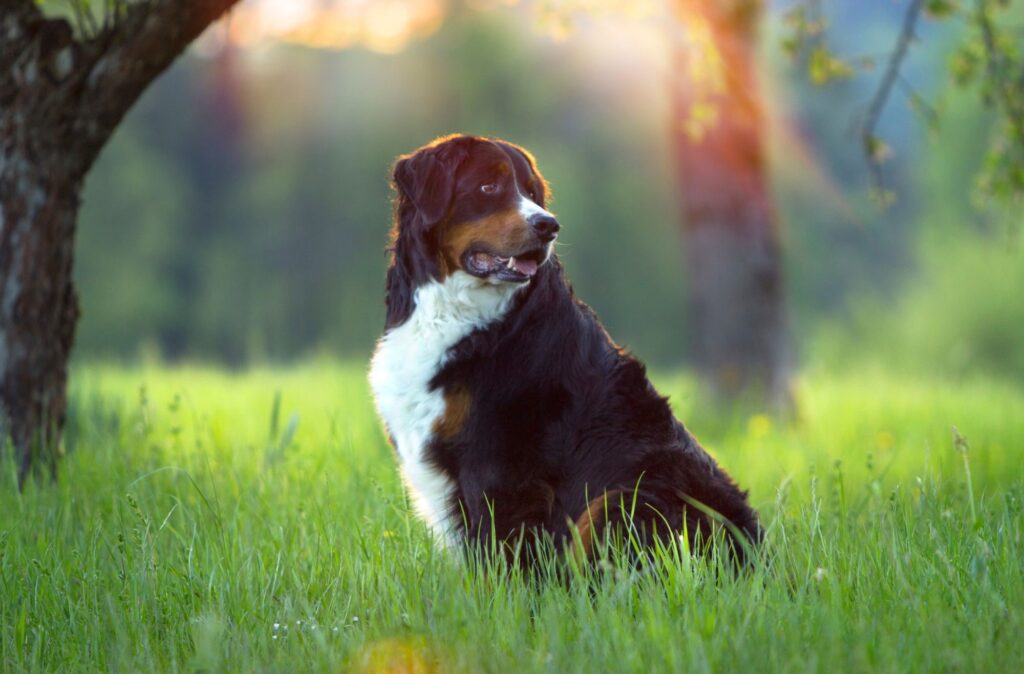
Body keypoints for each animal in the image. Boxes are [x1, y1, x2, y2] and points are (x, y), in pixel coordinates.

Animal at [370, 134, 761, 565]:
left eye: (532, 192)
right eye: (488, 186)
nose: (548, 225)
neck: (459, 315)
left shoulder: (499, 463)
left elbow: (502, 556)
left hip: (624, 496)